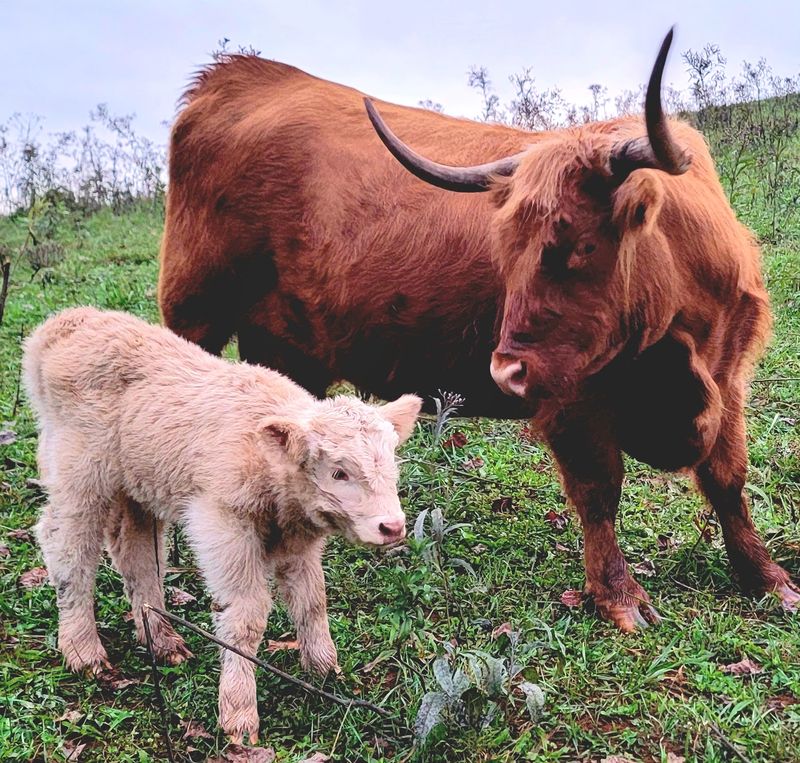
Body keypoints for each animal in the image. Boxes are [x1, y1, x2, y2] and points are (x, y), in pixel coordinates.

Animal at [24, 307, 421, 742]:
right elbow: (245, 617)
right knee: (67, 546)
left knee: (137, 556)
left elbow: (312, 602)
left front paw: (324, 671)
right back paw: (83, 650)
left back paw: (162, 641)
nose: (392, 527)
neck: (267, 463)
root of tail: (68, 321)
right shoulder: (223, 526)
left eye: (392, 464)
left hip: (137, 488)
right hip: (78, 475)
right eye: (338, 472)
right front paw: (239, 715)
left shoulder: (297, 541)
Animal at [158, 30, 798, 632]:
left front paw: (767, 579)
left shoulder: (728, 380)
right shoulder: (573, 402)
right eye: (506, 249)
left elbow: (727, 480)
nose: (505, 370)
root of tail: (236, 77)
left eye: (577, 244)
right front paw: (620, 597)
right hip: (193, 314)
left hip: (285, 347)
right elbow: (599, 492)